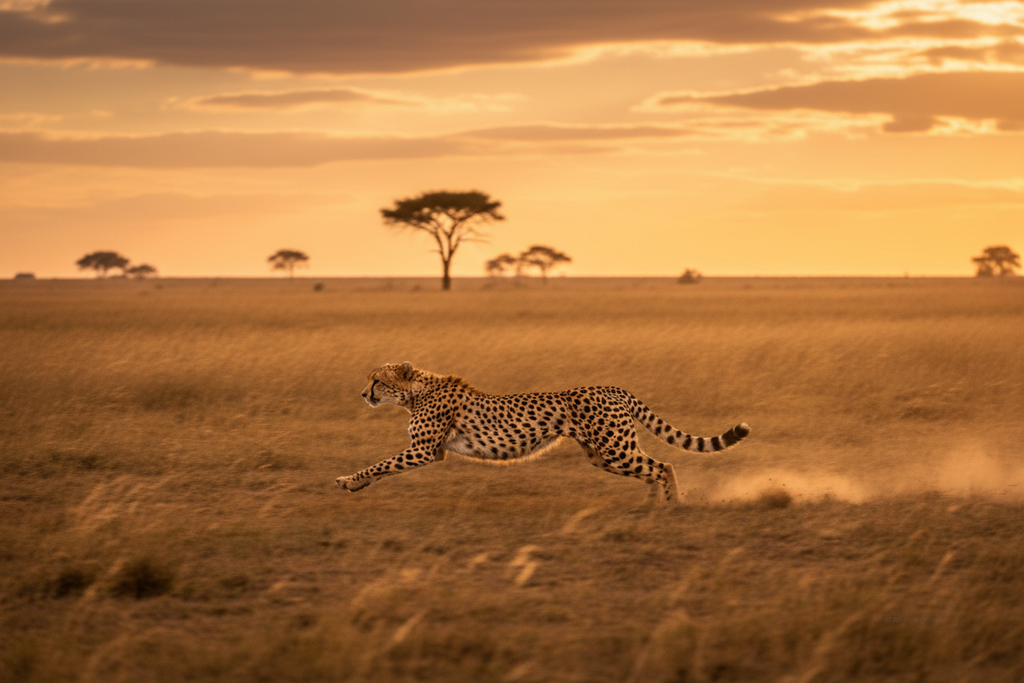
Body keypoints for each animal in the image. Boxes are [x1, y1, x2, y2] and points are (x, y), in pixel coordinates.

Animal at [336, 362, 750, 504]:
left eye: (377, 380)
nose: (363, 394)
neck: (416, 392)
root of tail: (612, 386)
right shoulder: (429, 451)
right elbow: (384, 466)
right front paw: (357, 484)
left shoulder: (423, 451)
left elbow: (382, 463)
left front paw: (348, 481)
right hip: (603, 455)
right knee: (651, 468)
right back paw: (650, 506)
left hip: (614, 449)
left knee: (664, 466)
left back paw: (672, 505)